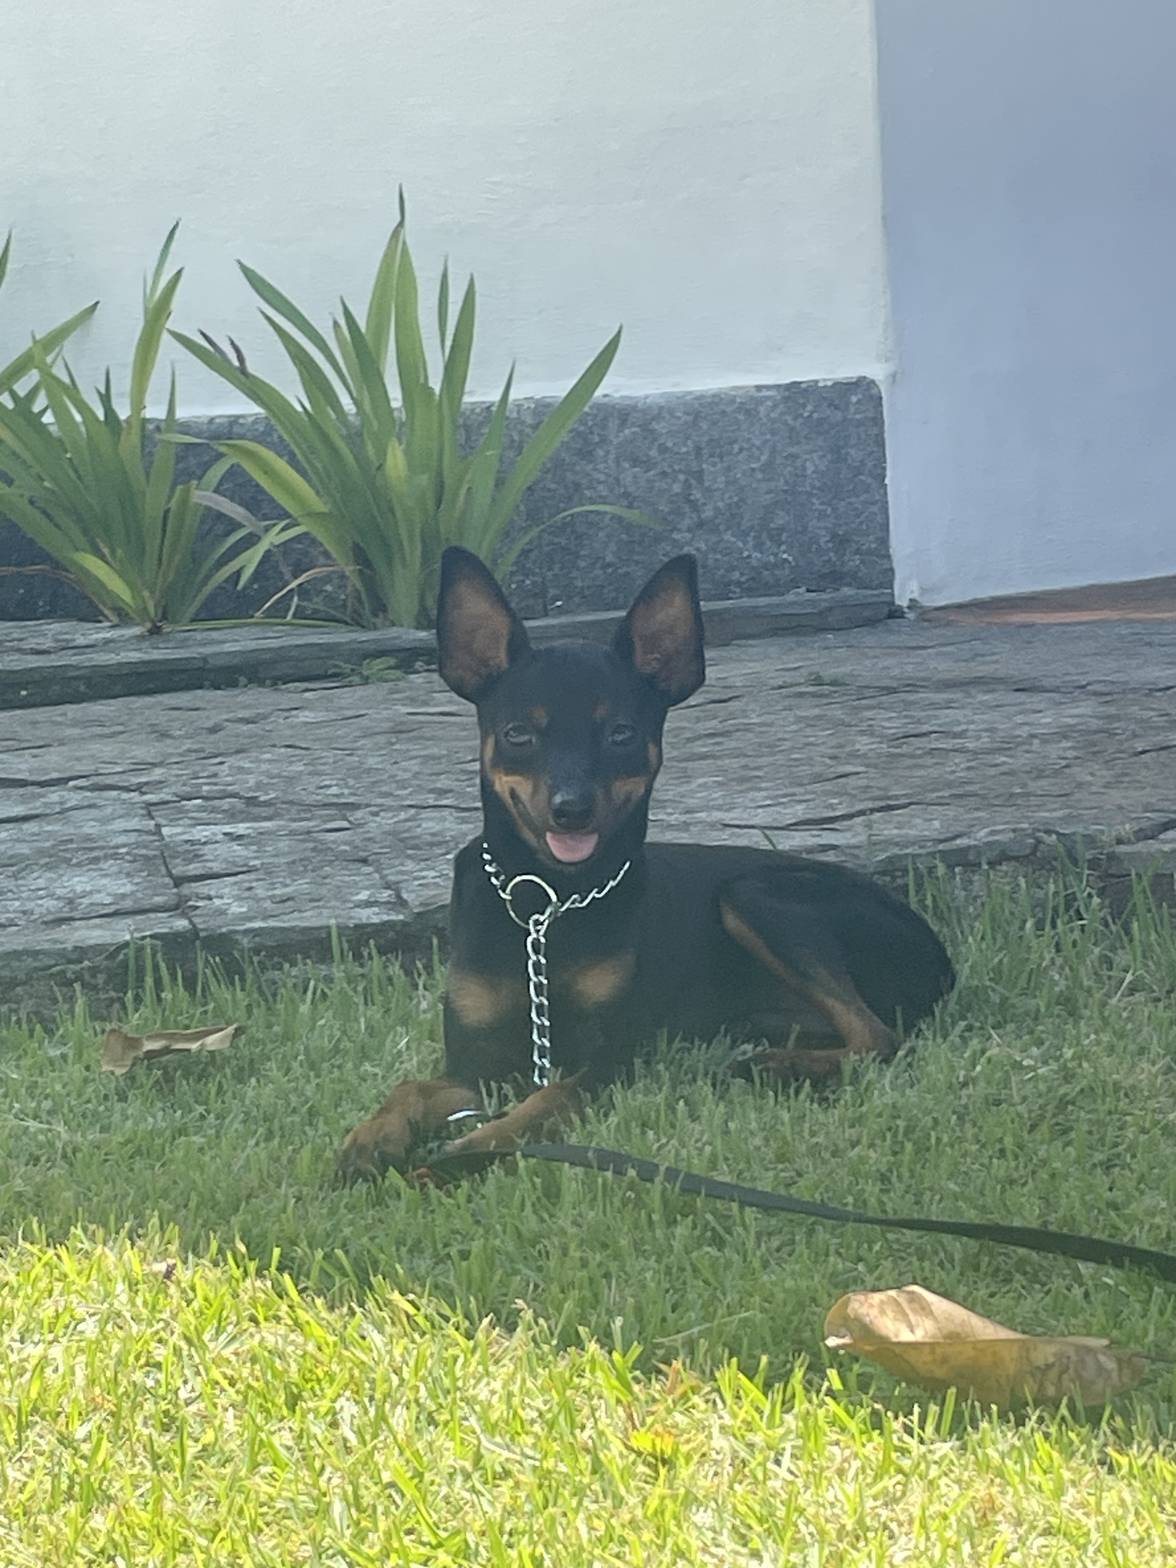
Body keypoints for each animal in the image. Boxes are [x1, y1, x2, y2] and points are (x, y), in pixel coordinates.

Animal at [337, 548, 954, 1181]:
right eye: (517, 733)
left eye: (621, 733)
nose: (571, 811)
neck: (547, 903)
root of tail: (939, 956)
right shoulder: (474, 1065)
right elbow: (411, 1088)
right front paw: (373, 1139)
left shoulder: (604, 1062)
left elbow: (537, 1106)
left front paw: (454, 1160)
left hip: (753, 894)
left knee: (880, 1038)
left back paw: (776, 1066)